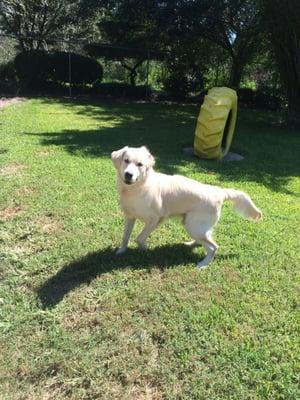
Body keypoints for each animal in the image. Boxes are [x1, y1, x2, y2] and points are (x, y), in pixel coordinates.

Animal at [111, 145, 262, 268]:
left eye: (140, 164)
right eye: (126, 160)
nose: (128, 175)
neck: (137, 188)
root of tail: (219, 191)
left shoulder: (155, 219)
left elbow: (139, 238)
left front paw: (144, 249)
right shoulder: (130, 217)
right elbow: (125, 236)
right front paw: (122, 251)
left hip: (193, 225)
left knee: (213, 247)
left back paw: (203, 264)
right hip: (194, 225)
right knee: (205, 239)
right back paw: (190, 244)